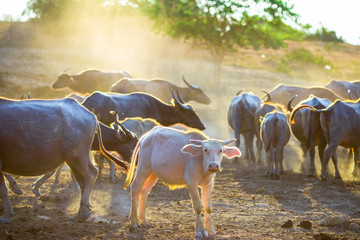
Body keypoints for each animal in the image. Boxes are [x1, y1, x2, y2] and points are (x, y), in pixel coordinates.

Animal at [0, 96, 128, 223]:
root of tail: (92, 116)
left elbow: (3, 189)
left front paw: (6, 216)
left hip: (77, 156)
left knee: (91, 174)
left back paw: (82, 212)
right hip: (73, 159)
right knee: (82, 179)